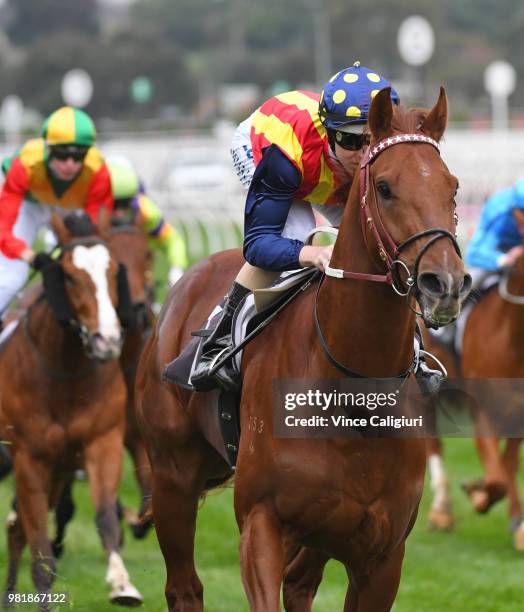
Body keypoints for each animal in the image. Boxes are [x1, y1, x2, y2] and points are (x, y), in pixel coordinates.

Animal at [0, 213, 142, 604]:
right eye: (68, 275)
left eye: (113, 271)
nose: (107, 341)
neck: (66, 377)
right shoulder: (30, 459)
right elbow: (42, 561)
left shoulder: (103, 441)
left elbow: (106, 516)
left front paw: (122, 583)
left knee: (17, 530)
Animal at [137, 87, 468, 612]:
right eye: (386, 188)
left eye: (452, 188)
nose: (446, 284)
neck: (353, 389)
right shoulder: (261, 524)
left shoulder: (382, 554)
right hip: (173, 475)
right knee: (184, 587)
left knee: (298, 584)